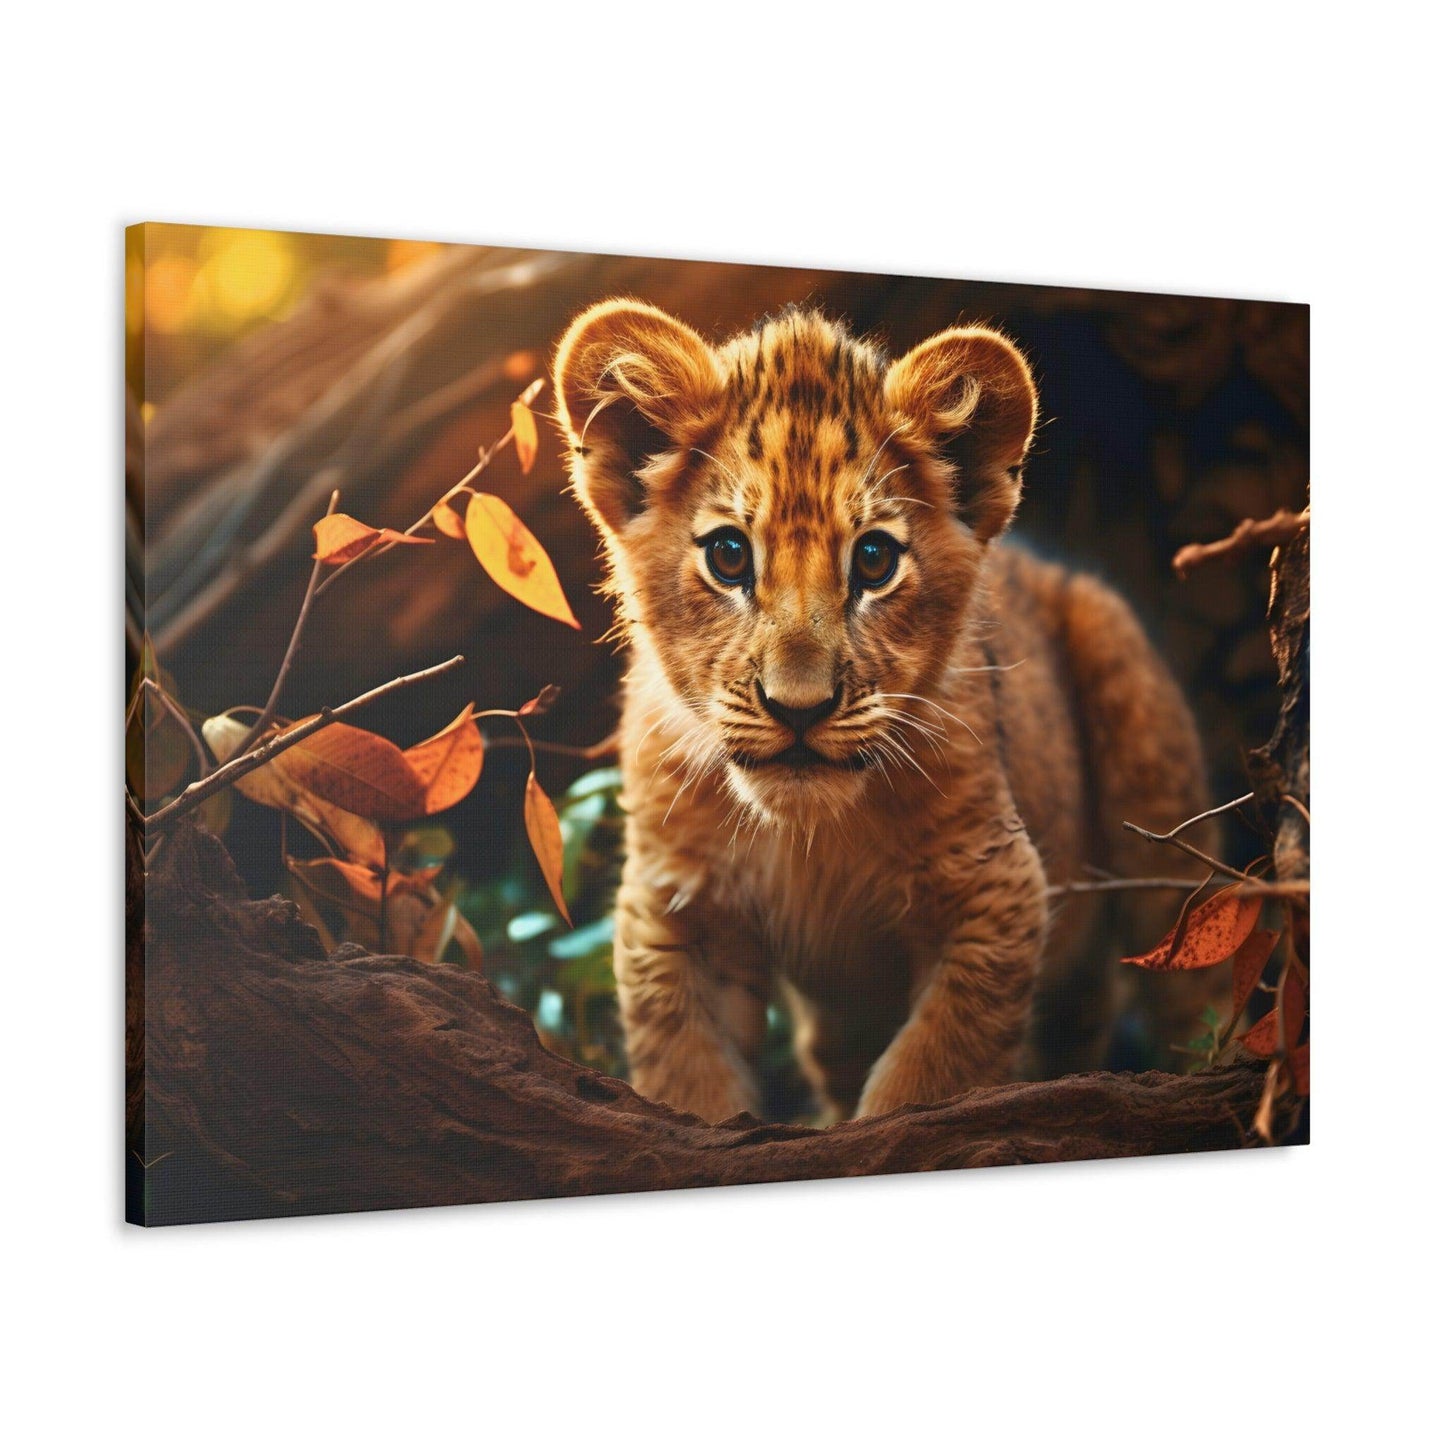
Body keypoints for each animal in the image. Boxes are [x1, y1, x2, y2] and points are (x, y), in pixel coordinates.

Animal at [552, 298, 1220, 1123]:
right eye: (729, 556)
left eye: (872, 560)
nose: (798, 708)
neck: (808, 836)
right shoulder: (675, 908)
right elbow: (689, 1080)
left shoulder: (995, 889)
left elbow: (927, 1075)